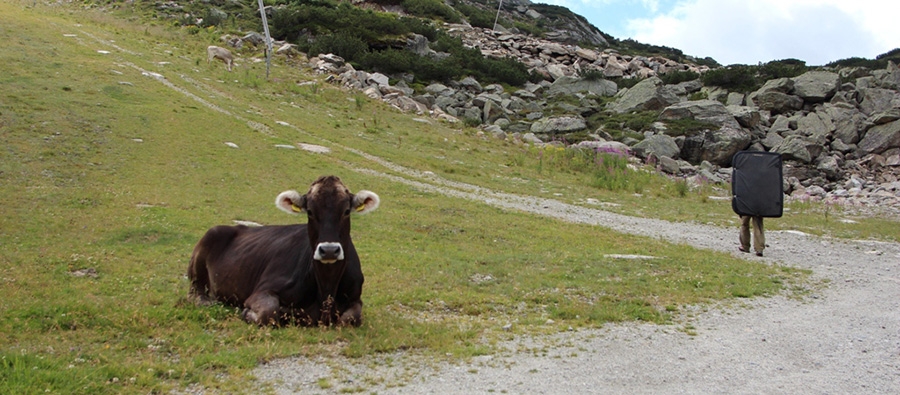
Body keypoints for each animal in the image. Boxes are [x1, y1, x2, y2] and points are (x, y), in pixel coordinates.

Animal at [188, 176, 378, 324]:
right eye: (310, 211)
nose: (329, 250)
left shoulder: (355, 298)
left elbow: (352, 318)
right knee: (195, 292)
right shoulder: (263, 289)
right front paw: (247, 313)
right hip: (206, 246)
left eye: (346, 211)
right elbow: (269, 311)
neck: (326, 289)